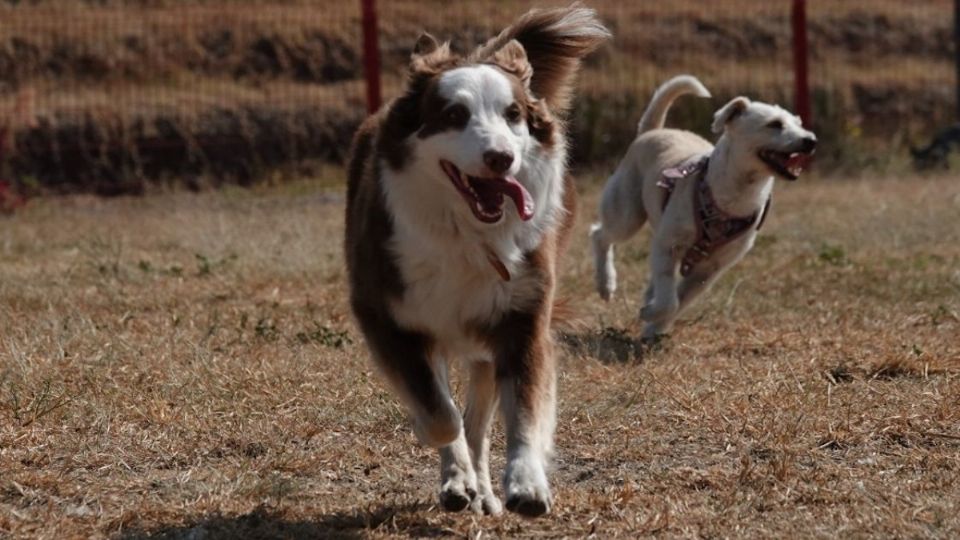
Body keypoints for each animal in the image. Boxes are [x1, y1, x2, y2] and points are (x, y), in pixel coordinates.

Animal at [344, 7, 608, 516]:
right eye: (453, 115)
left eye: (513, 115)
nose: (501, 158)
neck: (465, 234)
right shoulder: (386, 314)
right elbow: (439, 413)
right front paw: (444, 454)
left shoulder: (522, 318)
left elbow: (519, 413)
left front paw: (526, 484)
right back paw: (459, 482)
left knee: (479, 422)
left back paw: (481, 489)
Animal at [588, 74, 812, 340]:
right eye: (775, 124)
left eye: (798, 123)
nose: (811, 140)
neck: (732, 199)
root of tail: (652, 131)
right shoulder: (669, 246)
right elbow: (669, 300)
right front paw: (650, 314)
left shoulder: (710, 270)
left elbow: (681, 301)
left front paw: (654, 327)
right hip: (627, 214)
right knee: (600, 235)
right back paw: (606, 283)